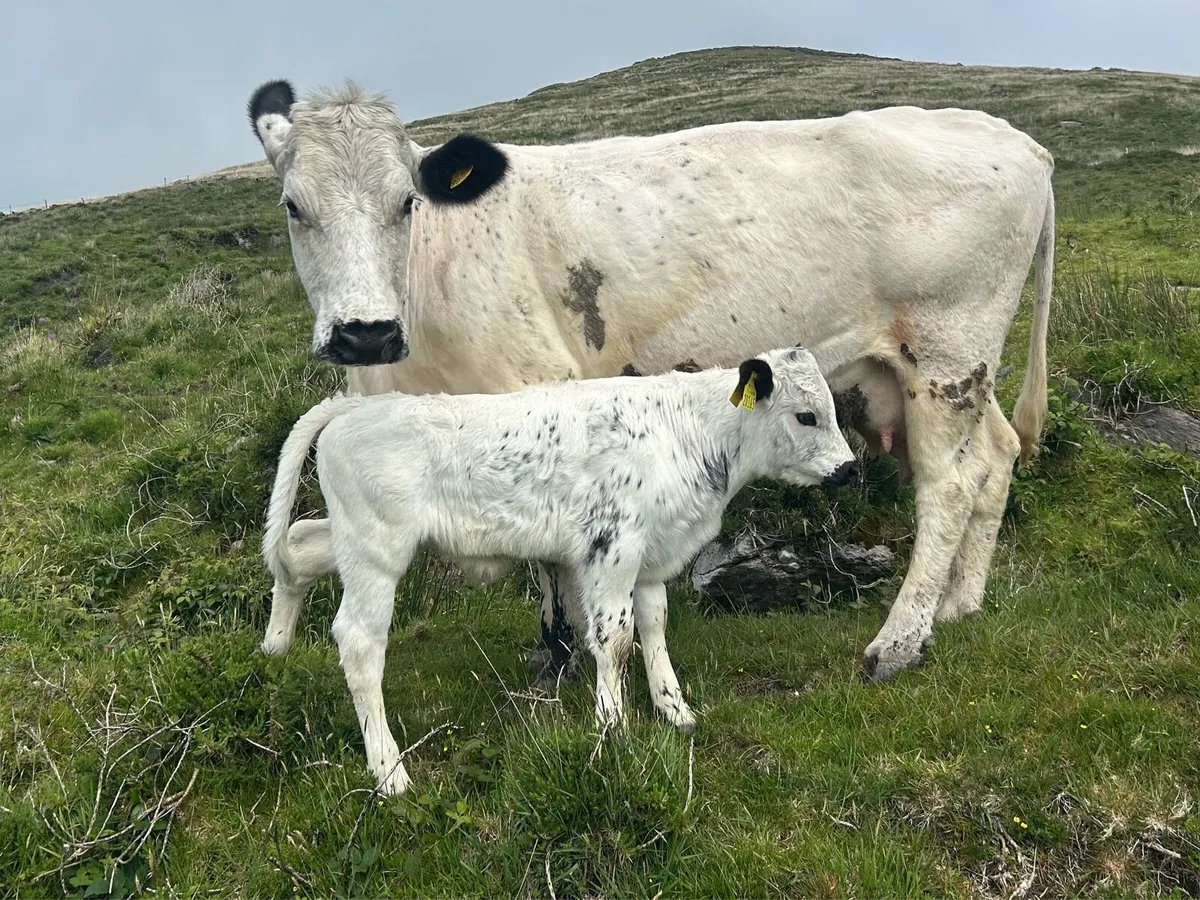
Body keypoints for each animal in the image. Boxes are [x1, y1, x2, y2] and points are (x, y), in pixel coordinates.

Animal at [247, 79, 1055, 681]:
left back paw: (900, 640)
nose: (364, 331)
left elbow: (554, 556)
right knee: (997, 455)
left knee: (950, 486)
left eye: (406, 201)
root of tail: (1017, 141)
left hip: (947, 355)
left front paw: (566, 656)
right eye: (293, 206)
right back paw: (959, 604)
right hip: (941, 373)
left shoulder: (540, 389)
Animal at [263, 348, 857, 794]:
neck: (687, 432)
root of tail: (355, 408)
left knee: (296, 548)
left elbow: (654, 627)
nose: (850, 469)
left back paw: (272, 653)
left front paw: (674, 709)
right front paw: (612, 728)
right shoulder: (611, 548)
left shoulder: (649, 560)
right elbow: (614, 639)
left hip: (351, 541)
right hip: (376, 554)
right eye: (806, 415)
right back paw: (389, 771)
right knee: (359, 642)